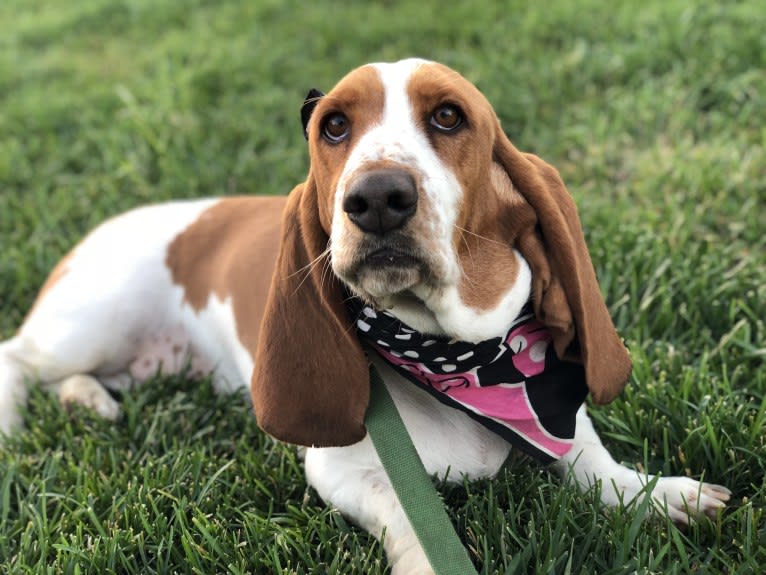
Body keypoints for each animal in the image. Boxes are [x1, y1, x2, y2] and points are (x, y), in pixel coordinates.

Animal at [0, 59, 732, 575]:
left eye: (448, 116)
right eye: (333, 126)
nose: (377, 197)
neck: (455, 359)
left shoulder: (555, 411)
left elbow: (594, 464)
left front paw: (662, 493)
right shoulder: (342, 472)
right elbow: (409, 516)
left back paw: (89, 403)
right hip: (93, 322)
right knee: (16, 355)